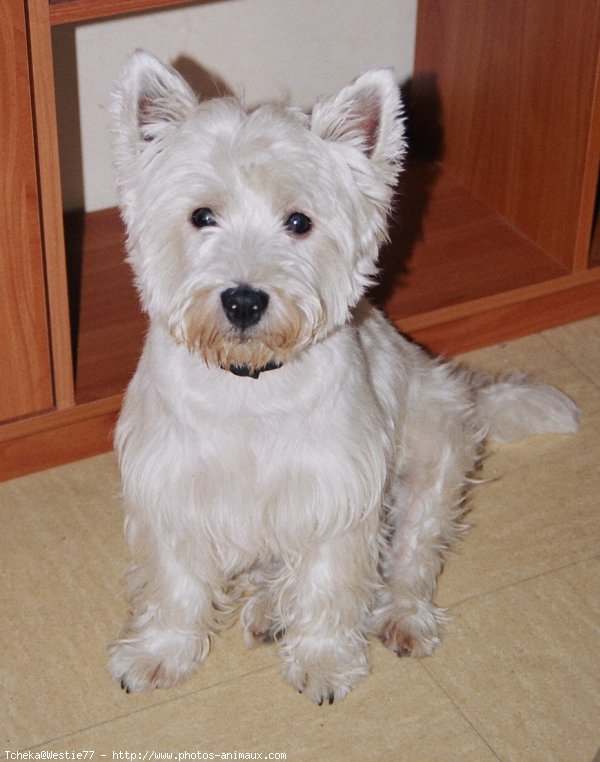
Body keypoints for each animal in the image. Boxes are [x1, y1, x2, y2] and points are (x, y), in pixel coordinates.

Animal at [108, 50, 576, 704]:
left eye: (299, 222)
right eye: (201, 216)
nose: (245, 301)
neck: (250, 387)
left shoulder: (337, 490)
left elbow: (329, 583)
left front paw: (324, 663)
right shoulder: (171, 485)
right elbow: (174, 583)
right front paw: (159, 654)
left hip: (430, 461)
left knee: (412, 557)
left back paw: (400, 618)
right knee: (274, 568)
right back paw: (268, 611)